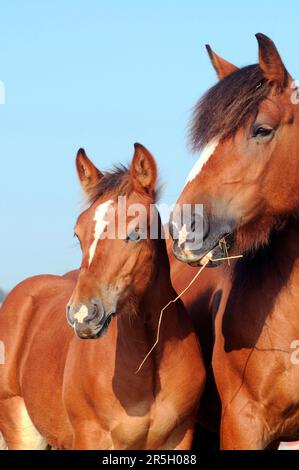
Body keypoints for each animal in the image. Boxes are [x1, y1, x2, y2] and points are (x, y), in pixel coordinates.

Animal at [0, 145, 205, 450]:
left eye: (135, 233)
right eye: (78, 234)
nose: (83, 314)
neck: (148, 361)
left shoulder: (180, 438)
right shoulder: (90, 436)